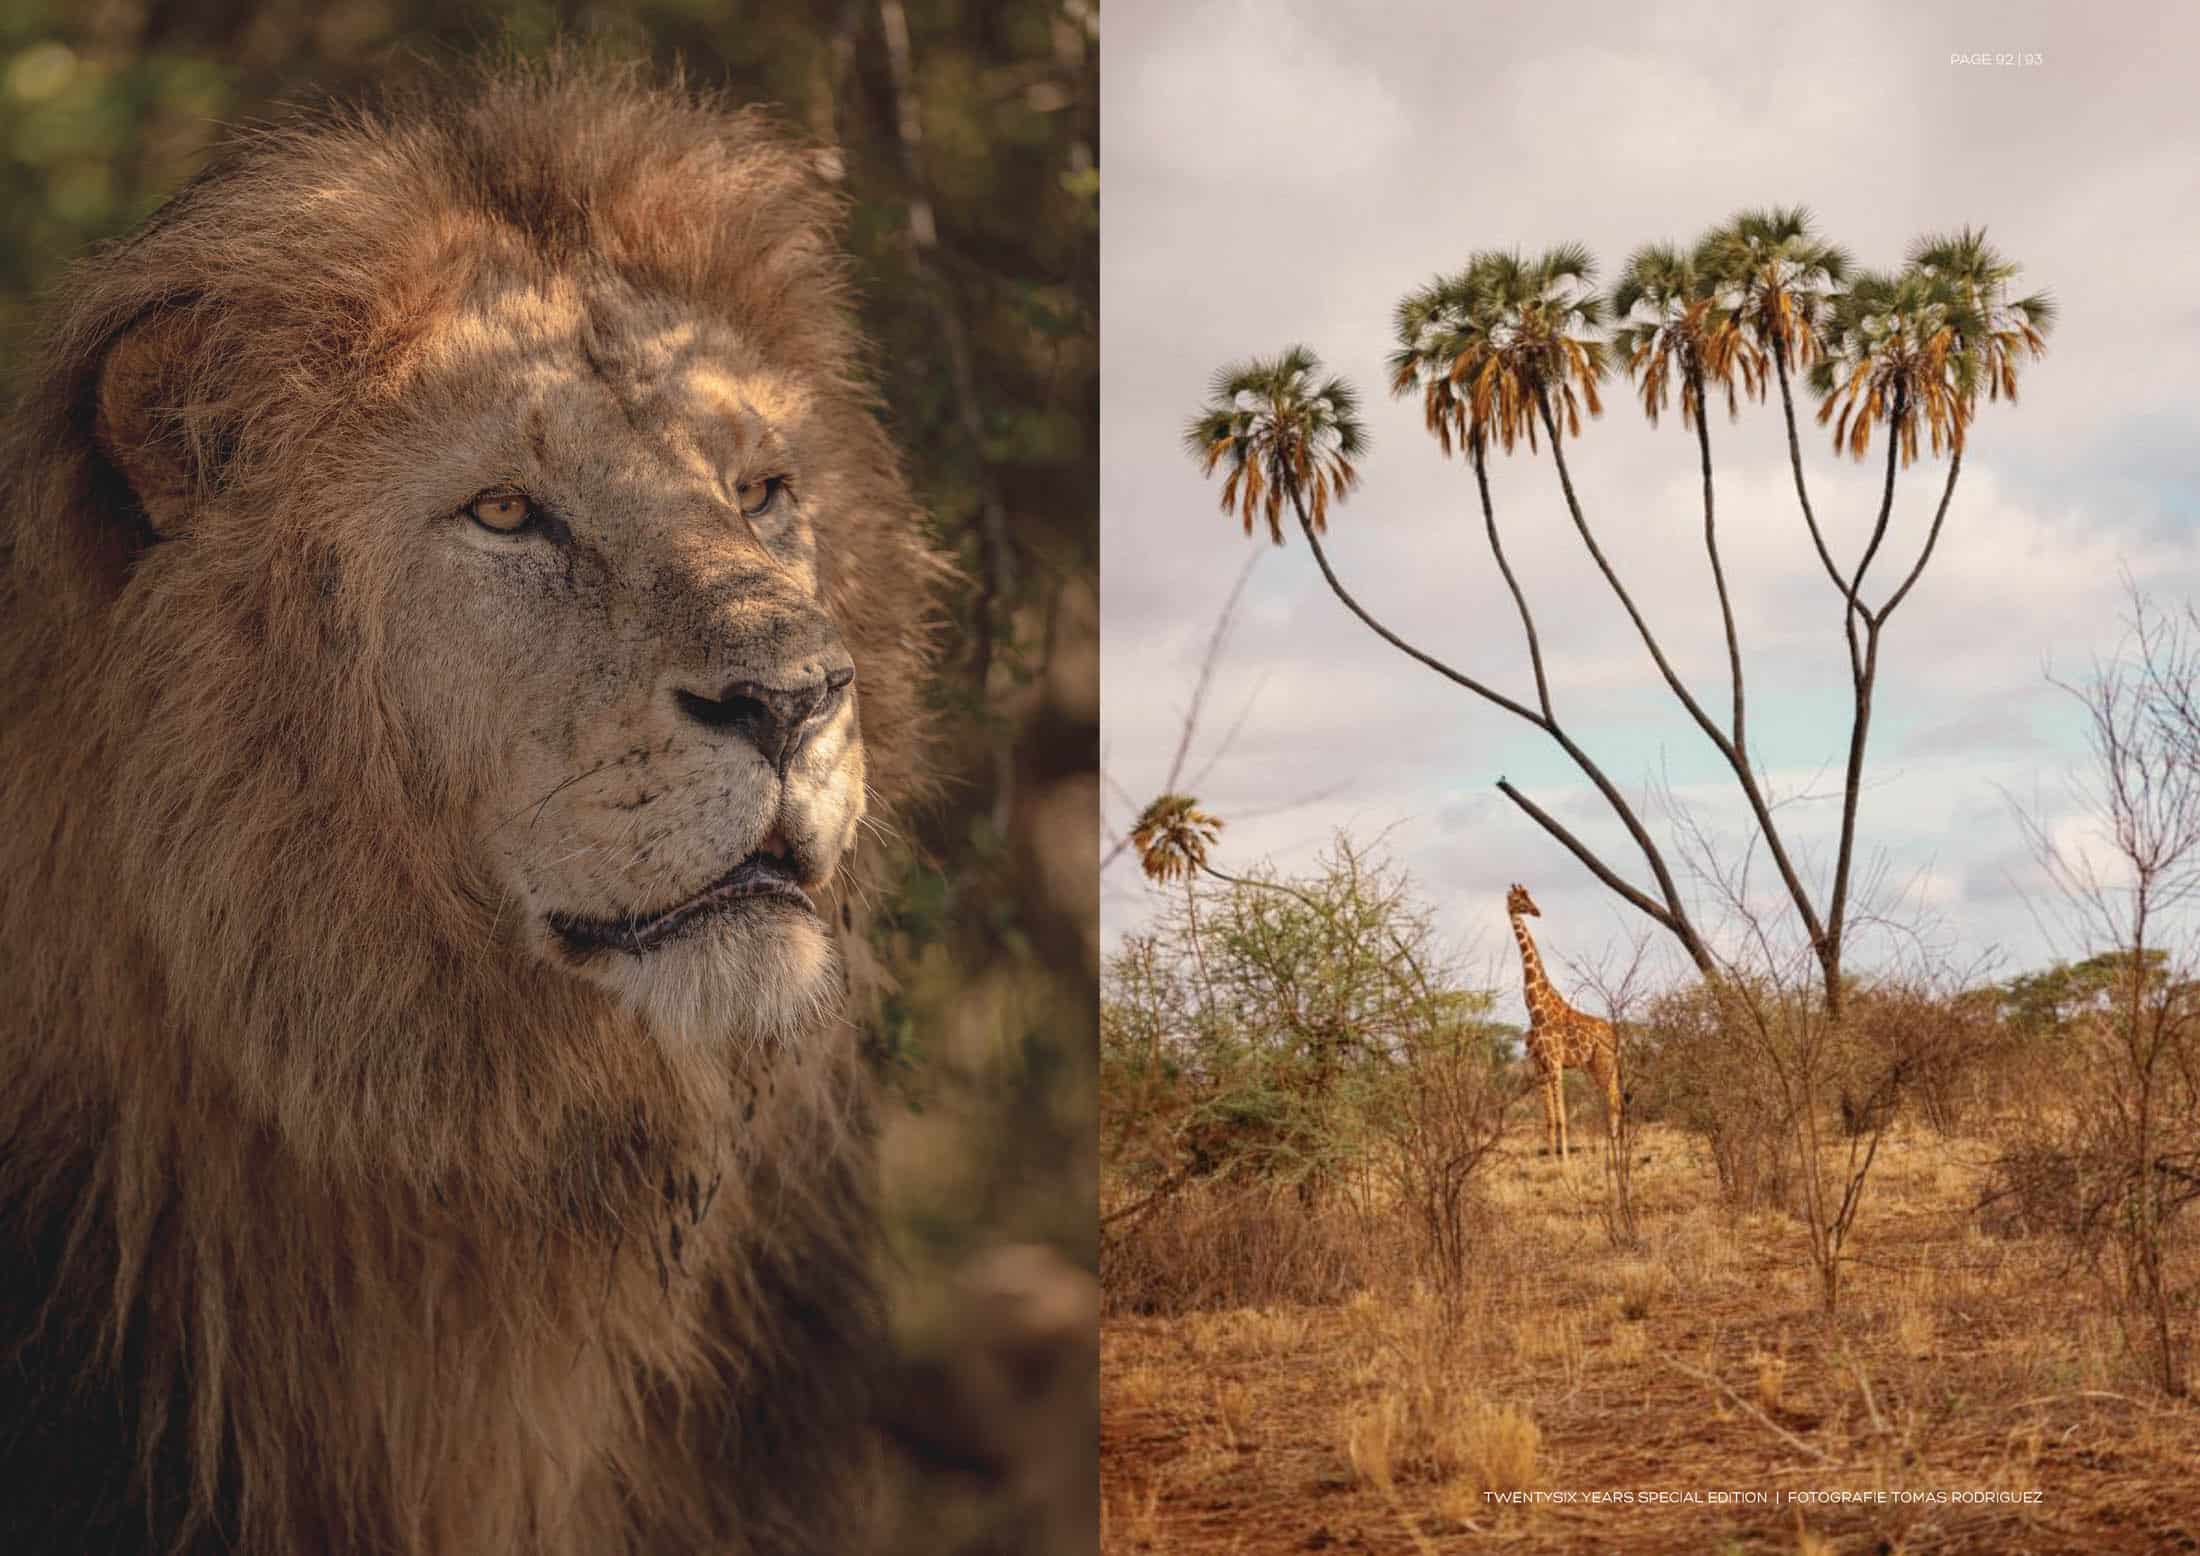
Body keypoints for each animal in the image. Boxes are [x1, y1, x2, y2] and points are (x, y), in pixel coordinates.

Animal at [1504, 884, 1628, 1162]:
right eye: (1519, 899)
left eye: (1528, 897)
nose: (1536, 911)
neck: (1536, 1009)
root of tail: (1614, 1033)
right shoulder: (1540, 1066)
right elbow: (1549, 1118)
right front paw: (1551, 1157)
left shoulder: (1555, 1063)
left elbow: (1561, 1117)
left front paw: (1565, 1159)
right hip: (1595, 1064)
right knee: (1611, 1098)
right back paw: (1612, 1144)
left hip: (1603, 1061)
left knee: (1614, 1099)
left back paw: (1614, 1147)